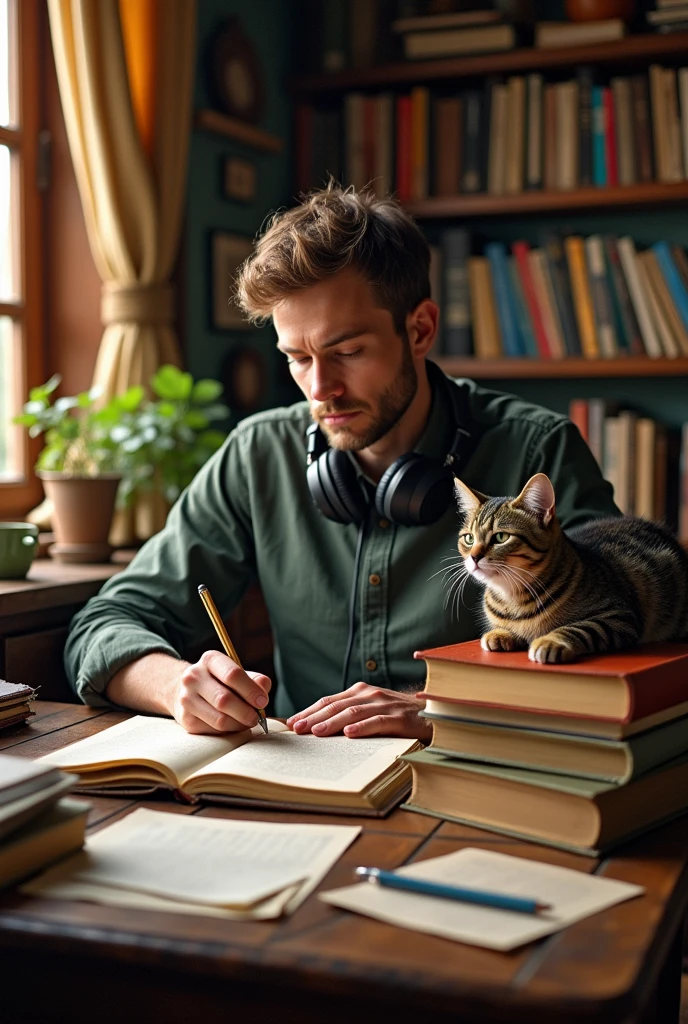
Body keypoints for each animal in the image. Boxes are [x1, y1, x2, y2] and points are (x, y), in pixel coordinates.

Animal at [450, 471, 688, 663]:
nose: (474, 557)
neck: (512, 596)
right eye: (469, 538)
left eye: (500, 537)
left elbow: (579, 627)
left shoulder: (619, 615)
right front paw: (500, 633)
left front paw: (551, 641)